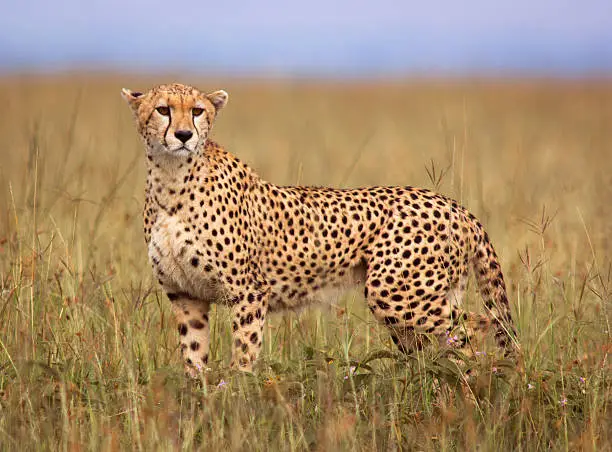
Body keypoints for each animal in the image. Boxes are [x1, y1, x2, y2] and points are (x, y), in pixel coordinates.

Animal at [123, 83, 516, 376]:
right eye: (163, 110)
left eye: (198, 111)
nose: (183, 134)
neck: (171, 179)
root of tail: (455, 205)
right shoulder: (185, 295)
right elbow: (194, 359)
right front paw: (201, 402)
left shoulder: (248, 292)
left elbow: (243, 355)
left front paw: (234, 401)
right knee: (434, 348)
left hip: (398, 294)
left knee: (475, 328)